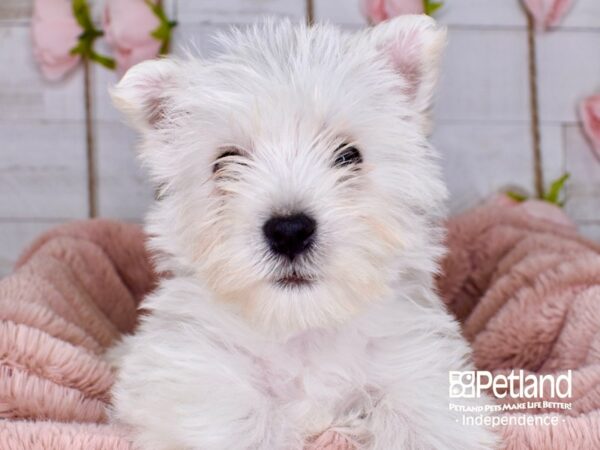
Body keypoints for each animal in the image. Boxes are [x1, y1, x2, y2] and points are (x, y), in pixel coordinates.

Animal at [110, 14, 500, 450]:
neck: (304, 331)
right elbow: (242, 423)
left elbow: (422, 419)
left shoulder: (418, 369)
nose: (289, 231)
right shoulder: (198, 377)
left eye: (349, 155)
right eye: (224, 161)